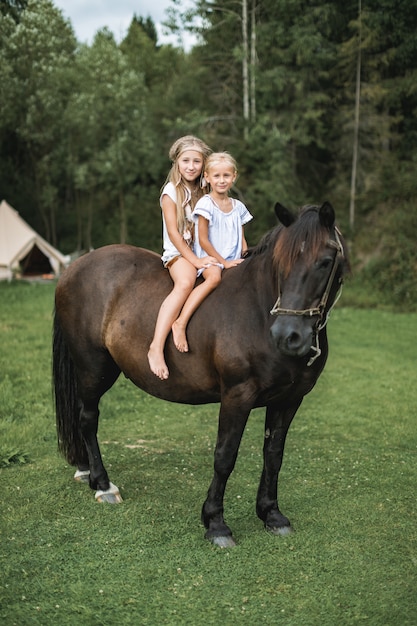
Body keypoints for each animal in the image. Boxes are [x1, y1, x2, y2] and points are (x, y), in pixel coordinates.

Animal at [53, 202, 350, 544]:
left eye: (325, 262)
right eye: (281, 262)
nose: (288, 335)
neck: (258, 311)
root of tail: (73, 269)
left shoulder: (289, 400)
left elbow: (274, 455)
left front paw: (271, 514)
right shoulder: (237, 396)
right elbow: (224, 457)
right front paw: (215, 523)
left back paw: (86, 470)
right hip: (94, 369)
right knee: (87, 419)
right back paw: (102, 484)